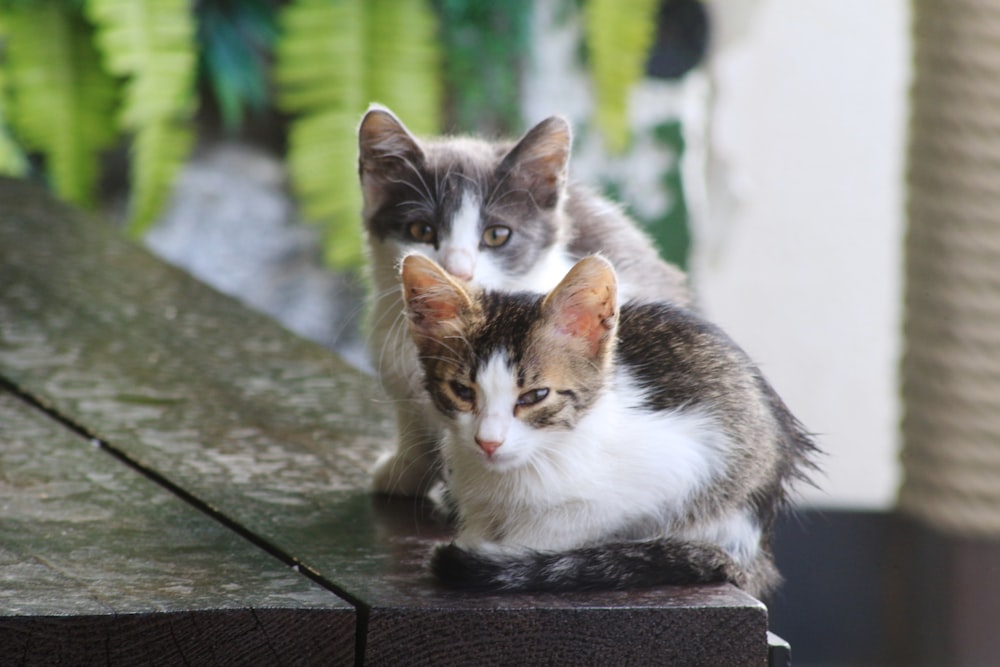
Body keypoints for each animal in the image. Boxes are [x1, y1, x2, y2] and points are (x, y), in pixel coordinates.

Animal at [402, 253, 816, 596]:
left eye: (535, 396)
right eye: (461, 391)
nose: (488, 442)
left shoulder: (687, 456)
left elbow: (574, 521)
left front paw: (512, 552)